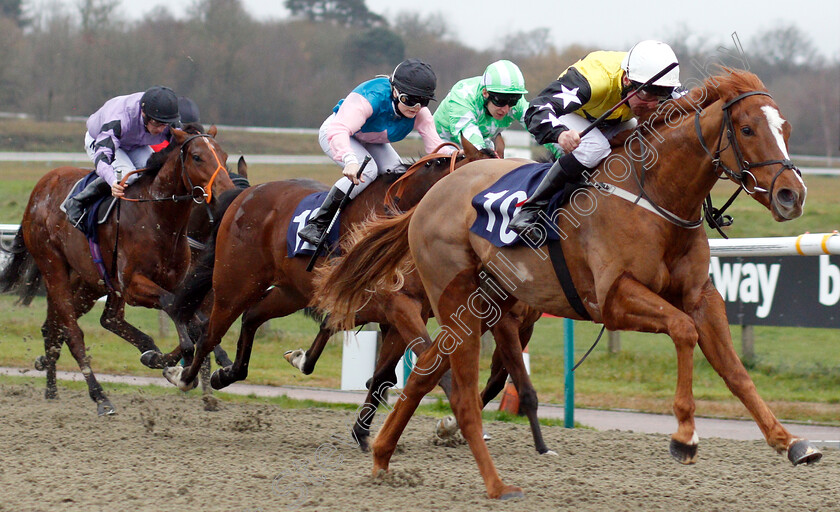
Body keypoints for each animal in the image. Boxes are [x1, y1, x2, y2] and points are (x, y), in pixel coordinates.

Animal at [0, 126, 233, 414]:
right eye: (198, 157)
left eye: (224, 156)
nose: (228, 194)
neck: (158, 216)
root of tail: (42, 186)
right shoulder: (132, 285)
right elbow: (174, 308)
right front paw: (176, 364)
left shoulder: (177, 282)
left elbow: (197, 325)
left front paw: (163, 360)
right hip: (53, 266)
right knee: (73, 331)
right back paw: (99, 396)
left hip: (90, 281)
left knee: (76, 323)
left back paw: (51, 386)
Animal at [314, 70, 820, 498]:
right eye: (748, 130)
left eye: (786, 128)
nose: (791, 195)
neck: (654, 194)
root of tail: (429, 196)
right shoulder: (612, 300)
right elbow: (682, 331)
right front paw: (684, 435)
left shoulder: (700, 298)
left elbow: (734, 370)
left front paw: (791, 441)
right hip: (457, 300)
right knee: (448, 384)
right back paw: (477, 477)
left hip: (479, 302)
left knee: (424, 371)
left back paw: (382, 457)